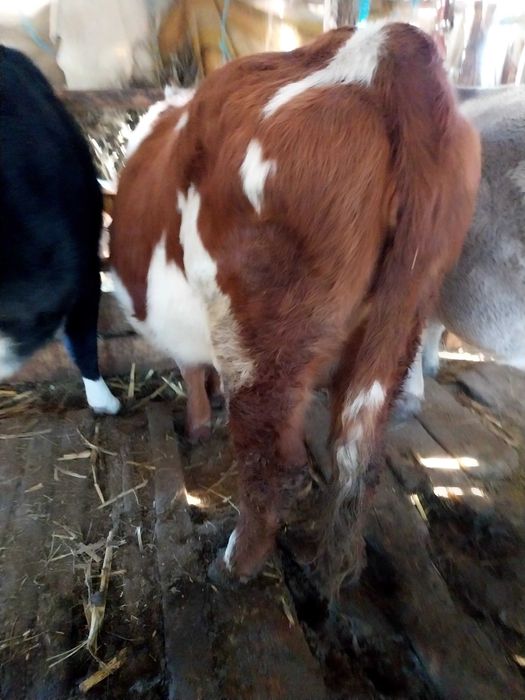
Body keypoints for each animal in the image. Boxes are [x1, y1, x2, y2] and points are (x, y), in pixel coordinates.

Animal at [110, 22, 480, 594]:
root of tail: (385, 47)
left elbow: (190, 372)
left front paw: (197, 425)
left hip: (262, 340)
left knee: (274, 468)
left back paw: (233, 564)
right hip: (401, 318)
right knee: (357, 454)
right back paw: (332, 565)